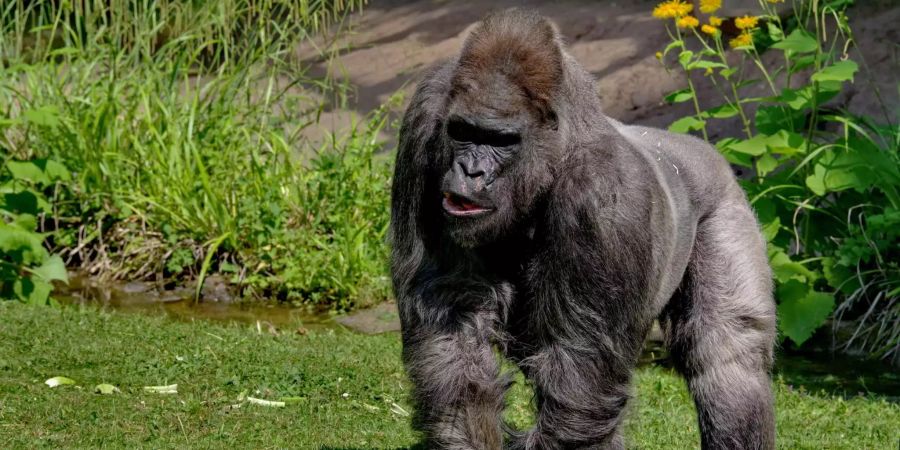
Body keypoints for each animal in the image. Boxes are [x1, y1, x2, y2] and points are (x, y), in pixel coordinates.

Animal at [390, 7, 776, 450]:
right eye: (462, 132)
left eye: (501, 141)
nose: (470, 171)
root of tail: (699, 148)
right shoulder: (424, 119)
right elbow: (451, 317)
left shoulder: (605, 195)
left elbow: (581, 377)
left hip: (725, 204)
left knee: (728, 355)